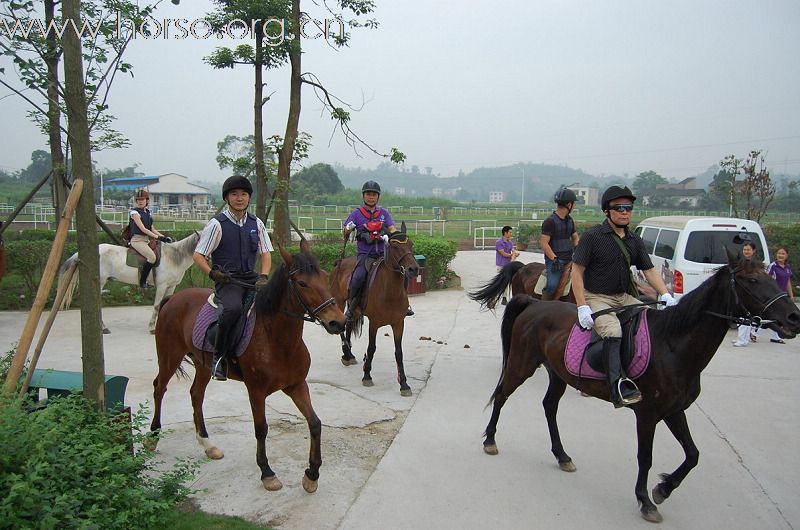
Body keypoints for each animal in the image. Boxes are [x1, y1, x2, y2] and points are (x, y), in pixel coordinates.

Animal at [57, 231, 198, 330]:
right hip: (100, 281)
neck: (174, 257)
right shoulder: (162, 286)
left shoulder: (171, 286)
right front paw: (152, 327)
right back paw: (103, 328)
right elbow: (157, 305)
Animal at [145, 240, 346, 490]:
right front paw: (266, 471)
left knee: (196, 395)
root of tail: (172, 299)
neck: (277, 339)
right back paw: (153, 437)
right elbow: (261, 429)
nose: (338, 322)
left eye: (325, 277)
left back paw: (207, 444)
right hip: (169, 357)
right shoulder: (256, 391)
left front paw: (312, 473)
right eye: (302, 283)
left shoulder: (297, 386)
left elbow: (315, 423)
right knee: (159, 388)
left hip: (203, 365)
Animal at [330, 225, 422, 394]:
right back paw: (346, 353)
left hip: (355, 309)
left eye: (411, 244)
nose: (413, 269)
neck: (390, 291)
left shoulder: (398, 323)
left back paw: (349, 354)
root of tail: (340, 261)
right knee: (342, 327)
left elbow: (399, 353)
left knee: (348, 324)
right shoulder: (374, 323)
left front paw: (403, 383)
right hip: (339, 302)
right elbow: (371, 348)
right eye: (395, 247)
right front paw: (367, 375)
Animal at [468, 246, 800, 520]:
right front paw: (646, 500)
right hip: (522, 365)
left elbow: (693, 454)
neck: (673, 344)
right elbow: (646, 457)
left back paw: (562, 455)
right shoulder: (648, 414)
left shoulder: (674, 410)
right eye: (752, 281)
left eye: (769, 276)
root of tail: (534, 305)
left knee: (549, 406)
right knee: (502, 395)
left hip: (558, 374)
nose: (793, 317)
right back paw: (490, 440)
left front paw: (664, 488)